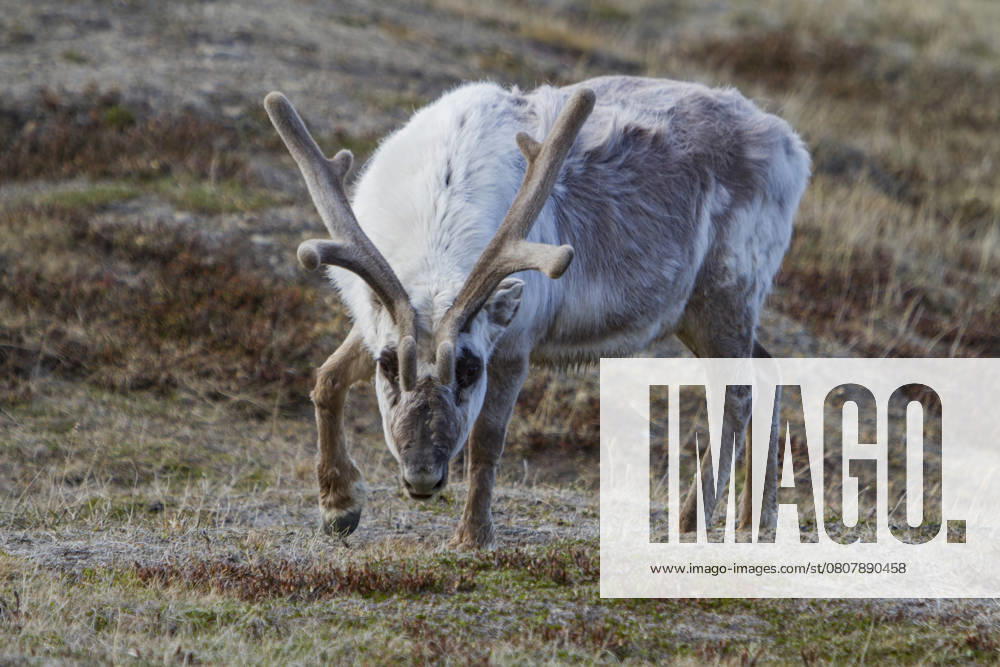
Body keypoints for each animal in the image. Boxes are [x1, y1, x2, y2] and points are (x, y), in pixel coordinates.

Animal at [263, 75, 811, 549]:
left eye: (470, 368)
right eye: (387, 366)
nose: (422, 476)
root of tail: (791, 145)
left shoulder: (513, 344)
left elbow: (487, 439)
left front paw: (473, 536)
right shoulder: (374, 324)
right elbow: (327, 379)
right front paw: (338, 506)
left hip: (726, 294)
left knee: (736, 393)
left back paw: (691, 518)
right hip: (697, 313)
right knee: (768, 370)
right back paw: (755, 518)